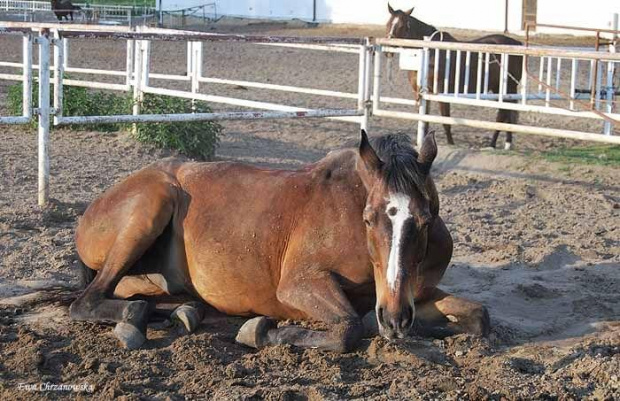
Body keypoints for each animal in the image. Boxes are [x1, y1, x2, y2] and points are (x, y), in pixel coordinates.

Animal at [70, 131, 490, 350]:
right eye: (369, 218)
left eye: (426, 219)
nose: (394, 318)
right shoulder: (299, 285)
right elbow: (348, 328)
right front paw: (263, 331)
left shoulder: (415, 294)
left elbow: (478, 316)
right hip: (152, 205)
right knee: (87, 301)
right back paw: (134, 320)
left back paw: (183, 311)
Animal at [388, 5, 524, 148]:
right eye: (389, 23)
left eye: (401, 25)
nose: (388, 45)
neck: (430, 52)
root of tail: (517, 43)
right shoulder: (423, 93)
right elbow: (425, 121)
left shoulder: (441, 92)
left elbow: (445, 120)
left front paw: (450, 143)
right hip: (499, 88)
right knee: (505, 114)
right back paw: (501, 144)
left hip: (508, 87)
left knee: (504, 114)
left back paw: (498, 144)